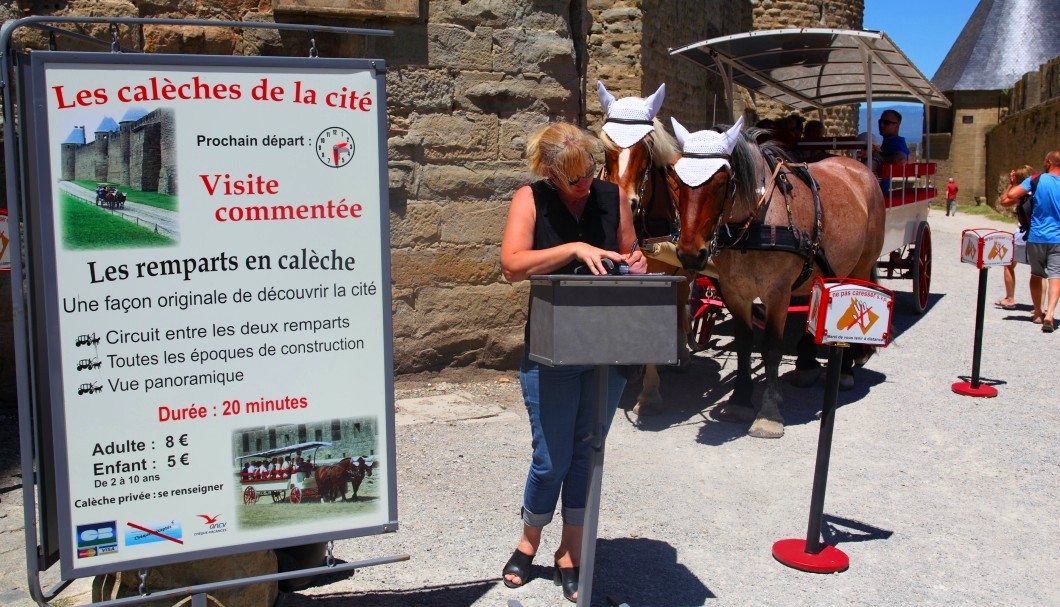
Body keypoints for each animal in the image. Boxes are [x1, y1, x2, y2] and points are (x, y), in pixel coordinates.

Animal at [669, 117, 886, 436]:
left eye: (721, 183)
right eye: (676, 181)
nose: (689, 253)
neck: (754, 225)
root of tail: (857, 167)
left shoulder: (777, 293)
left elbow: (771, 347)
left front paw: (768, 413)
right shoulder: (735, 291)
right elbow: (745, 343)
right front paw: (740, 400)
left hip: (859, 267)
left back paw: (845, 370)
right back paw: (806, 365)